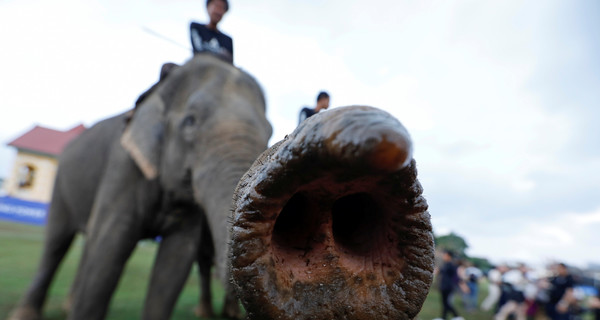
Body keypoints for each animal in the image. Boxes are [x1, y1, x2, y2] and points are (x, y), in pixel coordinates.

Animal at [8, 53, 272, 320]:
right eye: (190, 121)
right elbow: (108, 249)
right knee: (57, 243)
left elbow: (175, 261)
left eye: (270, 132)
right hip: (62, 182)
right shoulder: (123, 168)